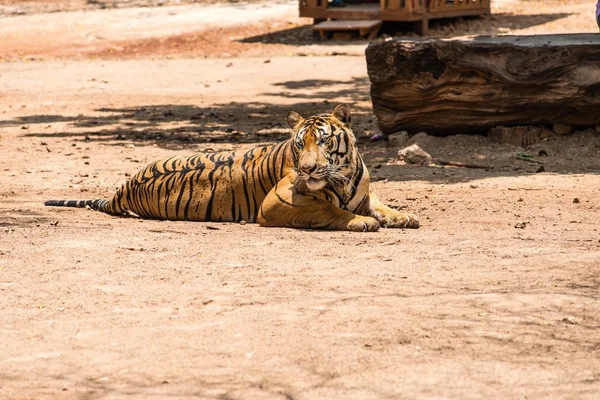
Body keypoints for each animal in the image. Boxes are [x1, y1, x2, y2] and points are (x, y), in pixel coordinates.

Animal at [45, 104, 418, 233]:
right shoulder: (277, 202)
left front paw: (403, 217)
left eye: (324, 141)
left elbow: (382, 203)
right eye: (300, 145)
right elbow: (330, 210)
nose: (309, 170)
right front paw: (361, 221)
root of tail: (124, 188)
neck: (344, 175)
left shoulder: (363, 191)